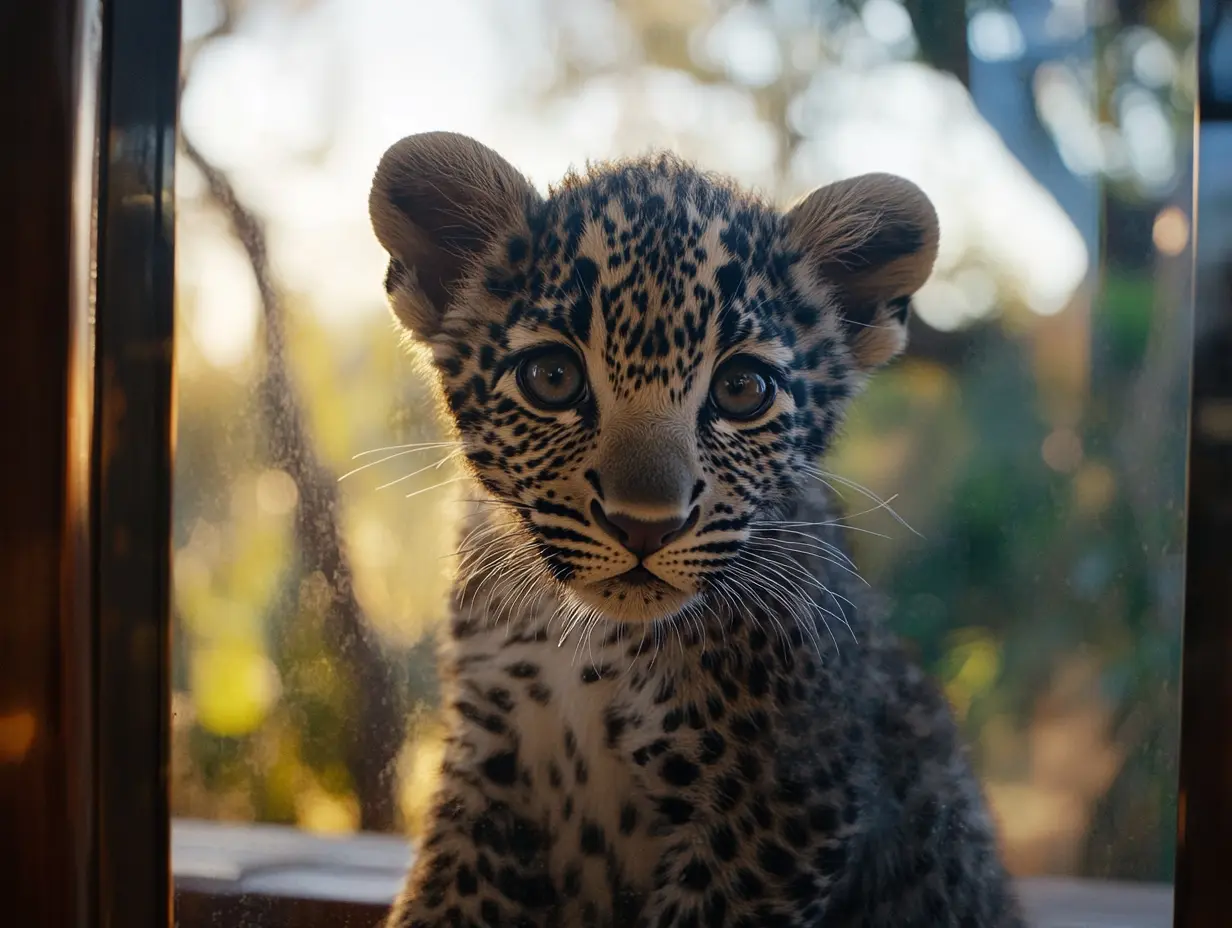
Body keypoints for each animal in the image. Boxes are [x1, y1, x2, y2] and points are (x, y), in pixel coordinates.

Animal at [367, 131, 1025, 928]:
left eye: (743, 389)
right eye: (551, 377)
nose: (644, 526)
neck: (582, 642)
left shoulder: (781, 801)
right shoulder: (489, 763)